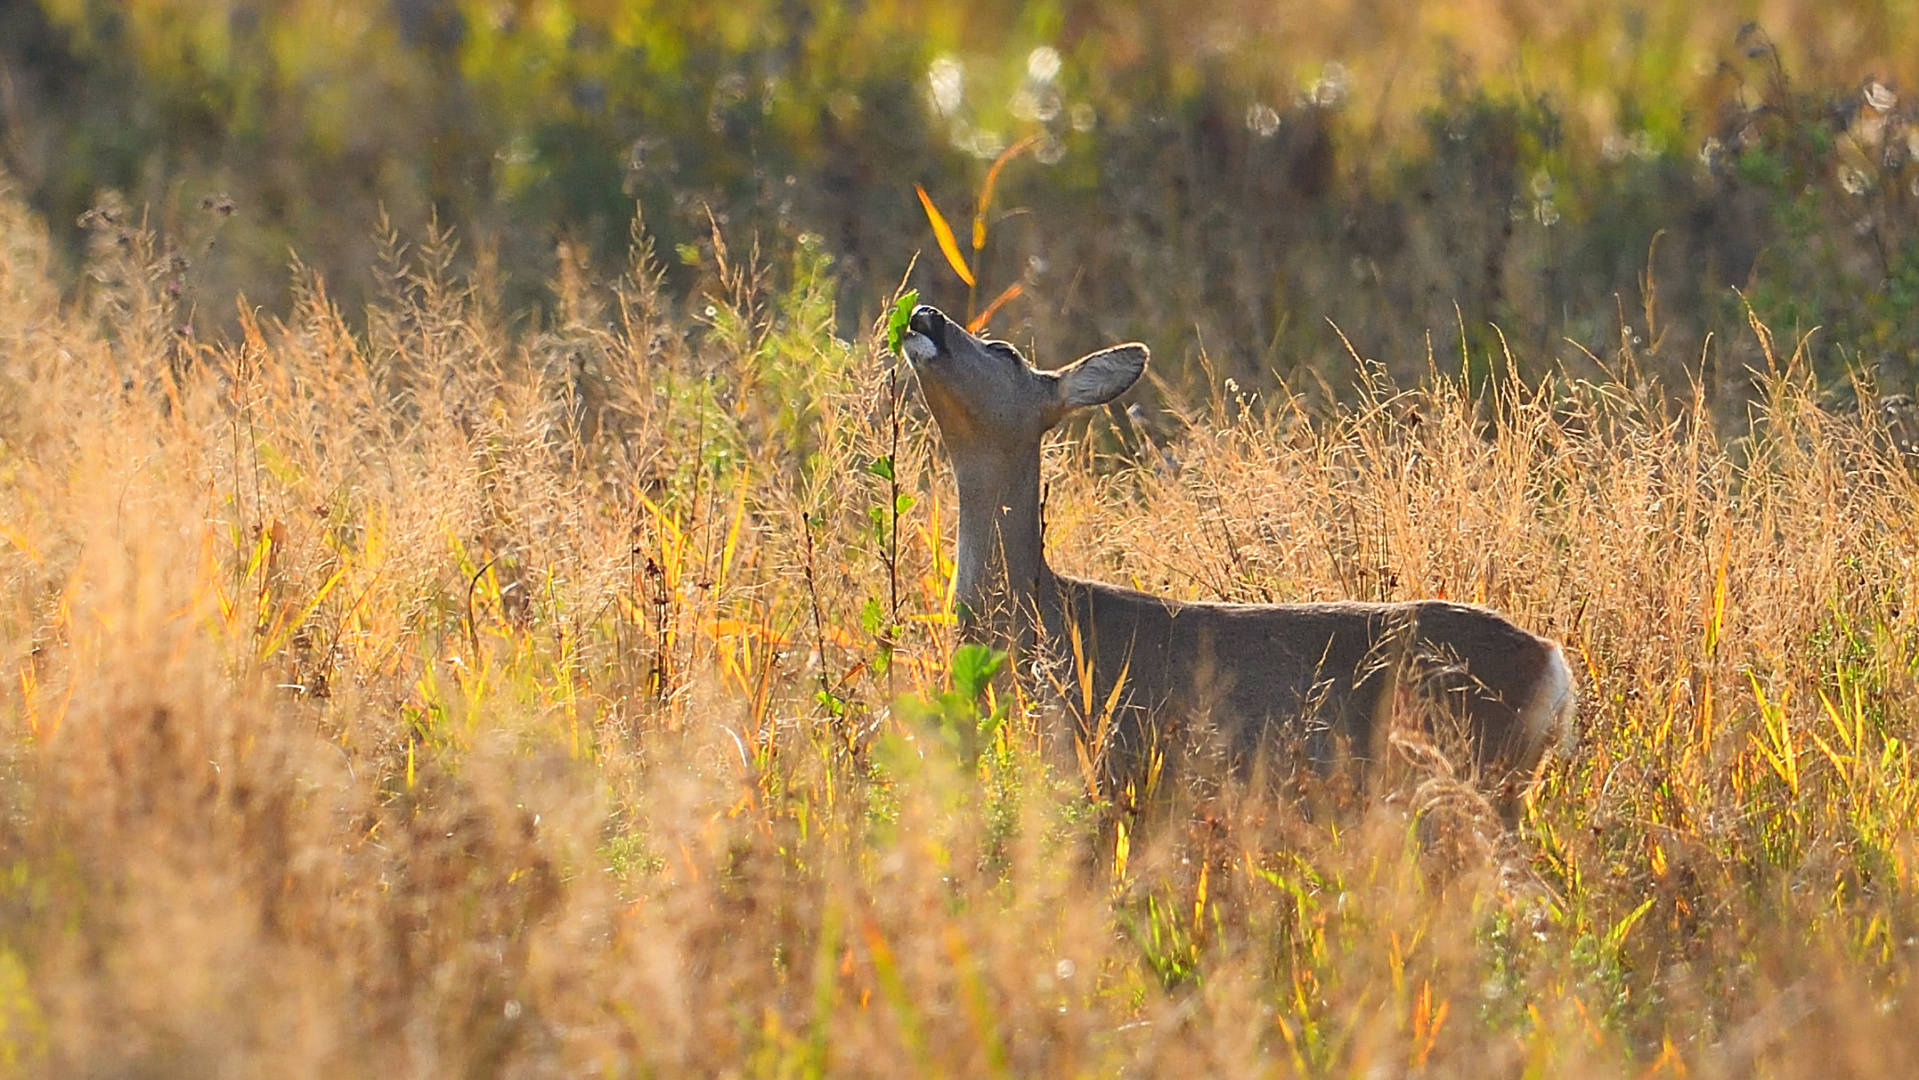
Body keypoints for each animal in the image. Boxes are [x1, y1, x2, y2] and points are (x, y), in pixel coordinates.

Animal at [898, 305, 1573, 821]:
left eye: (1005, 351)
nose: (924, 313)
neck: (1035, 616)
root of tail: (1553, 664)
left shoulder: (1109, 761)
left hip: (1469, 769)